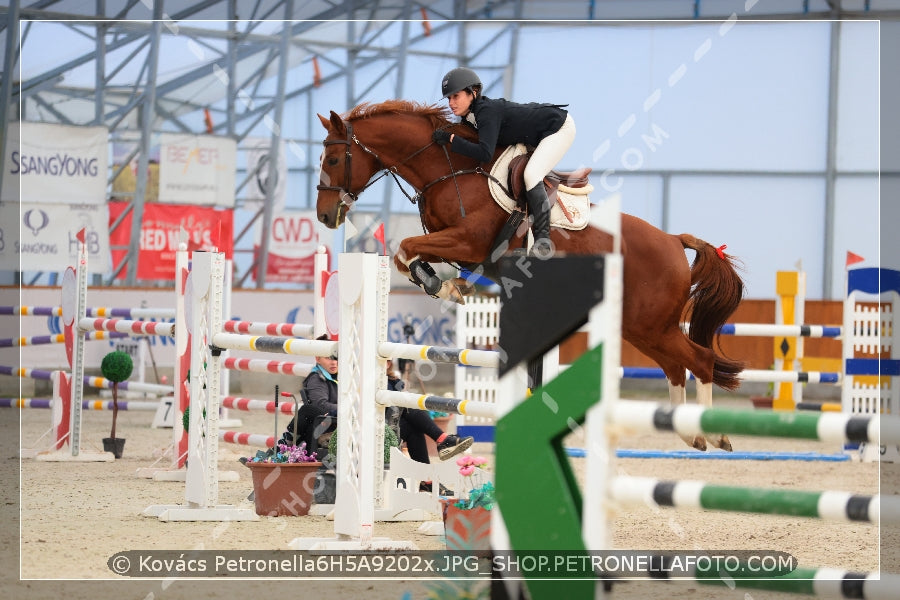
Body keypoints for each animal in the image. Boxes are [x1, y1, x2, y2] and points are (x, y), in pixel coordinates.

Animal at [316, 102, 744, 450]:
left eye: (334, 159)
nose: (324, 215)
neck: (448, 168)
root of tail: (673, 240)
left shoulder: (467, 241)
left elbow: (406, 247)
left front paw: (445, 286)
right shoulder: (452, 243)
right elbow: (408, 254)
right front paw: (447, 283)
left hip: (650, 323)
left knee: (700, 360)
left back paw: (713, 434)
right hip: (642, 326)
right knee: (676, 366)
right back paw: (691, 435)